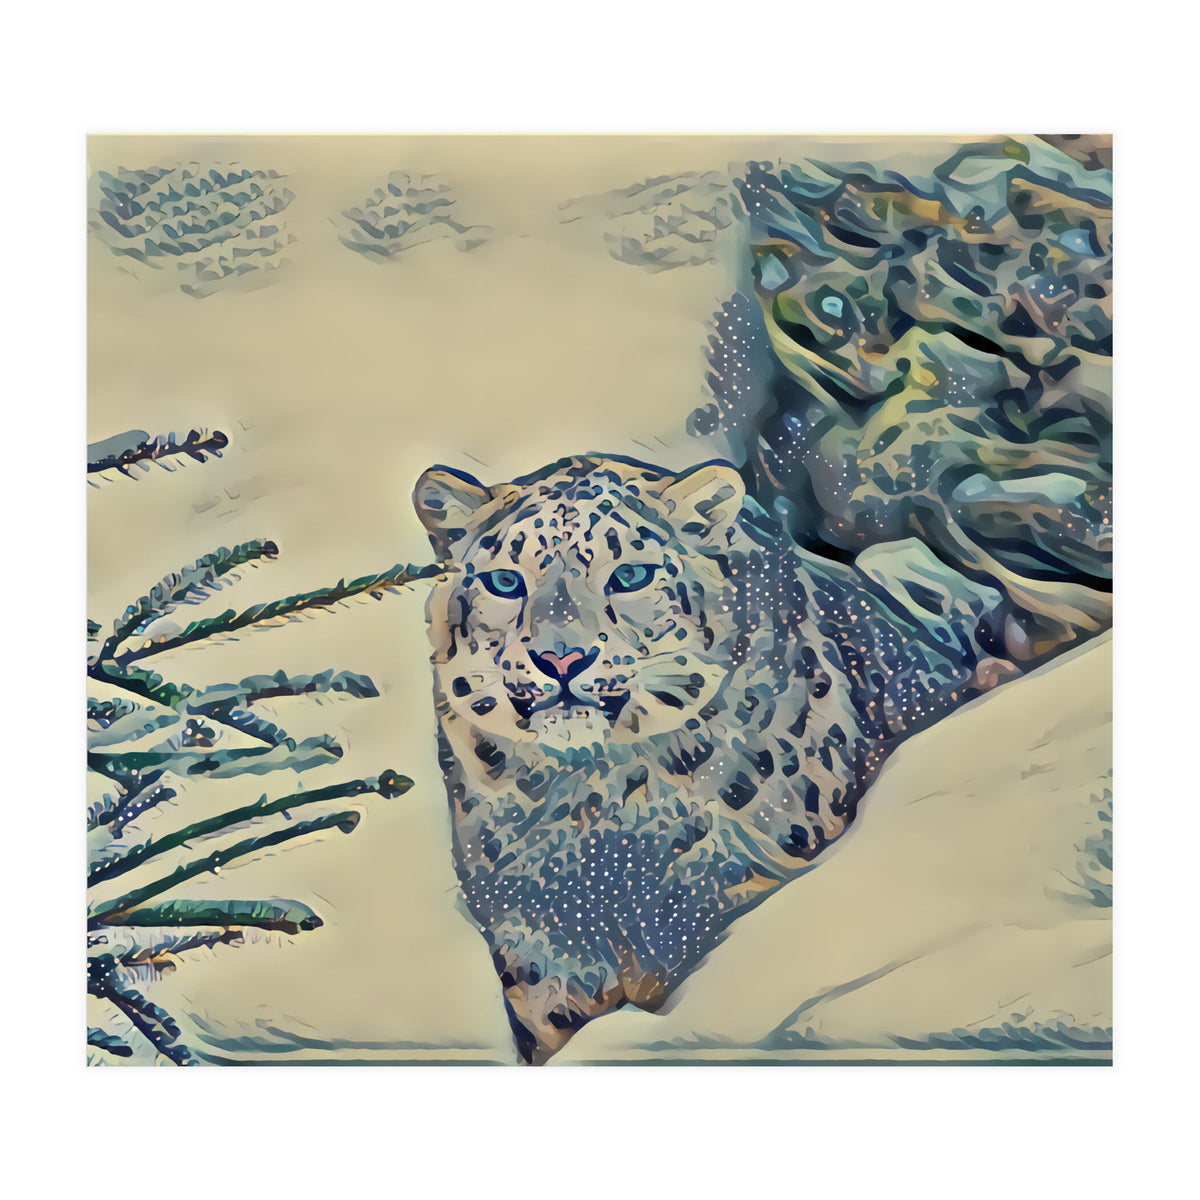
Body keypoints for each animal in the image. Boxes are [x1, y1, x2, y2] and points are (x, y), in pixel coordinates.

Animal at [413, 452, 1019, 1064]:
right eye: (505, 581)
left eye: (630, 576)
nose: (561, 659)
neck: (597, 818)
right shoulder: (537, 939)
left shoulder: (725, 889)